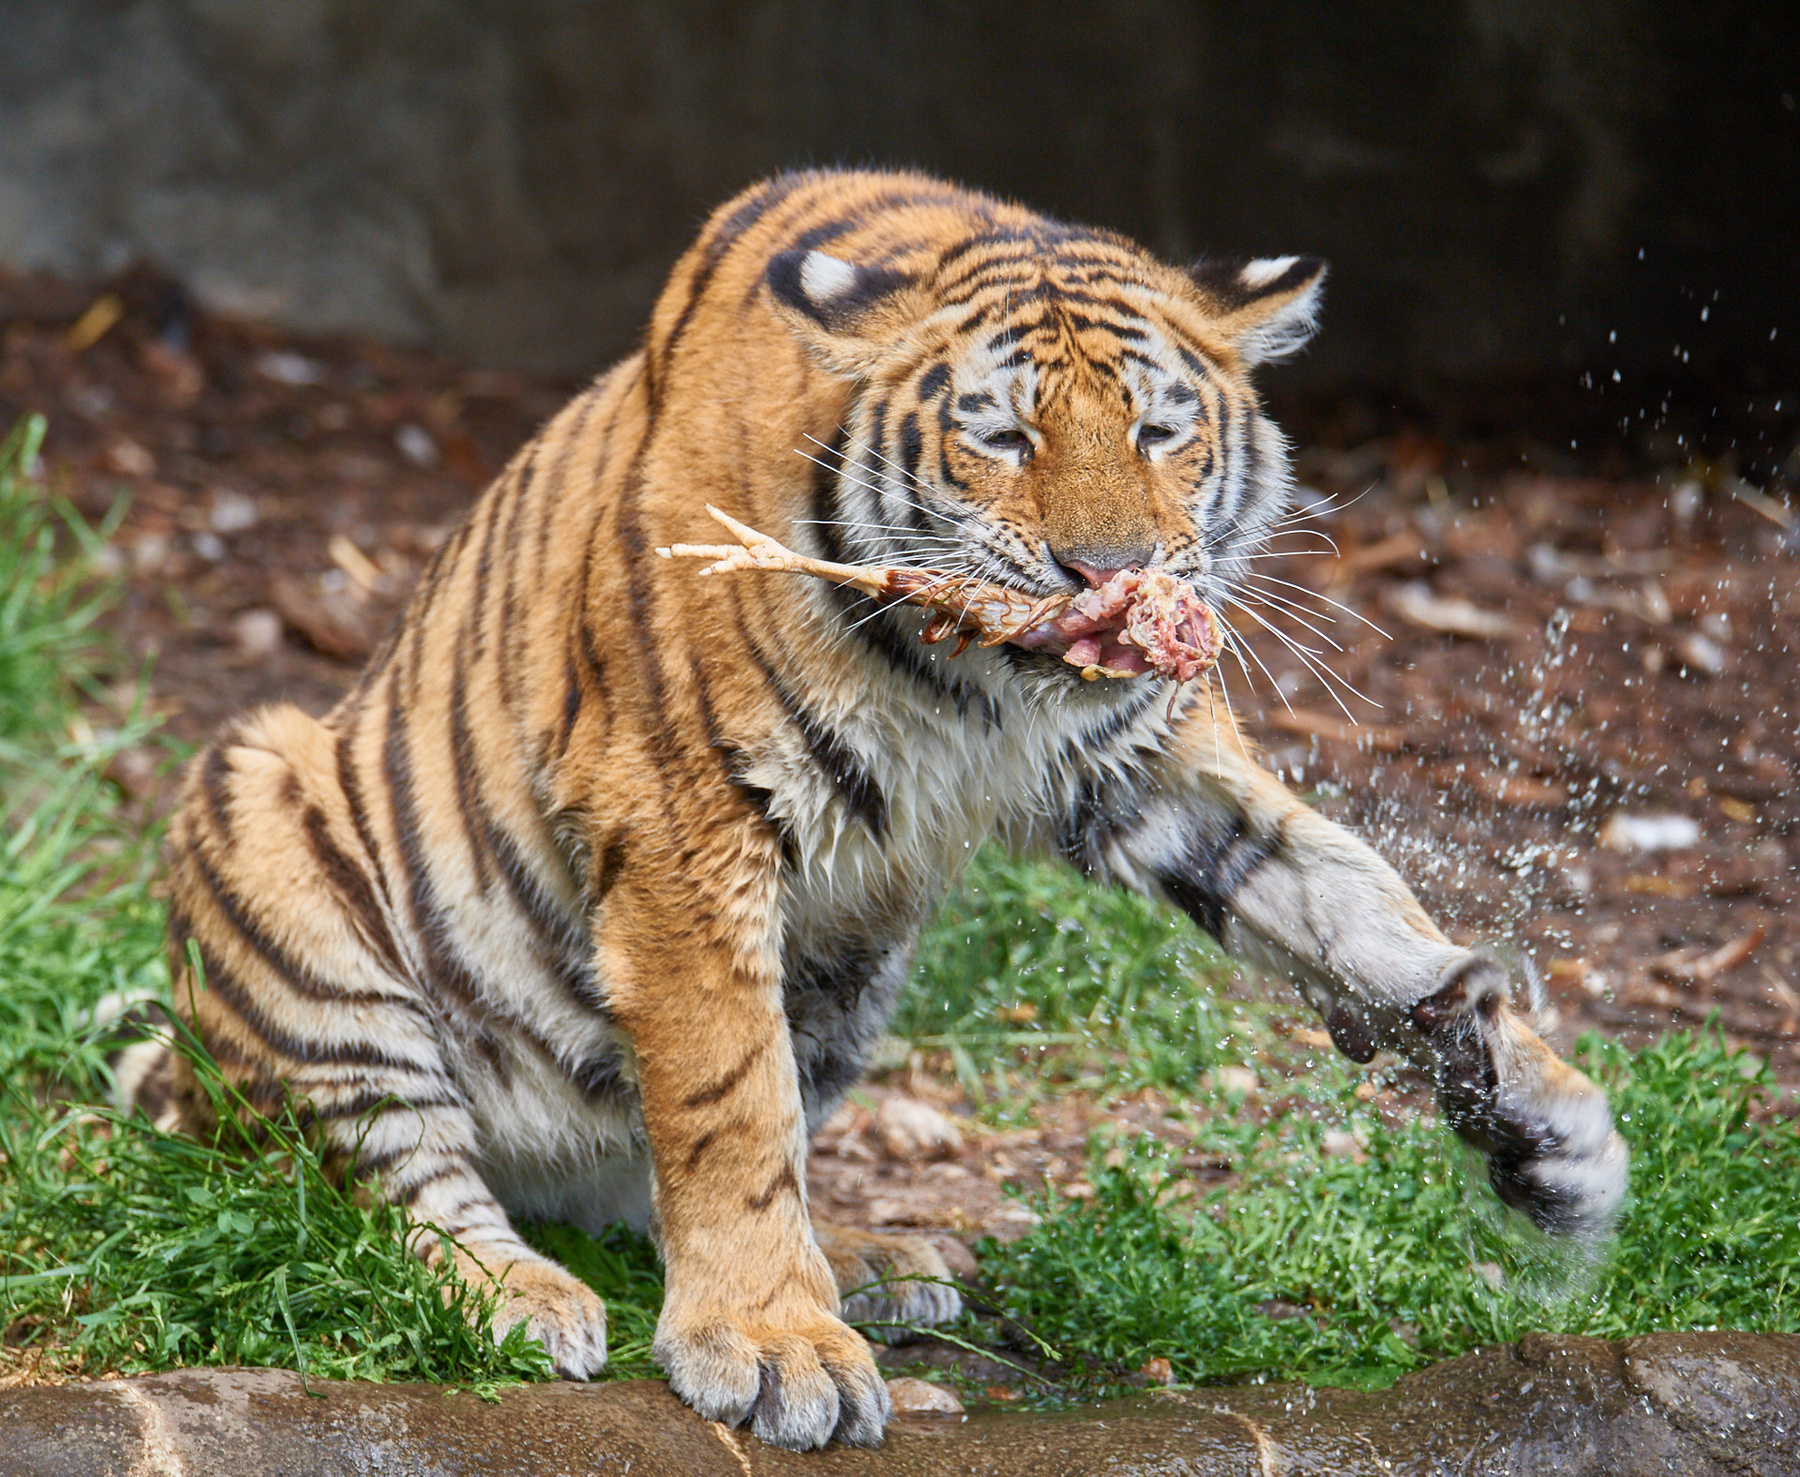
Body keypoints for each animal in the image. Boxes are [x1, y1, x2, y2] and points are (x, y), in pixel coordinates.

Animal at [118, 168, 1628, 1451]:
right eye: (1004, 436)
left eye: (1159, 429)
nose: (1109, 571)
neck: (981, 683)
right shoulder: (685, 819)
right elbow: (728, 1100)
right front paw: (773, 1345)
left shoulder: (1143, 769)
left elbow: (1347, 894)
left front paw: (1551, 1127)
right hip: (267, 816)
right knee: (388, 1181)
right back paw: (524, 1296)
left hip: (853, 971)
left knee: (644, 1180)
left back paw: (869, 1262)